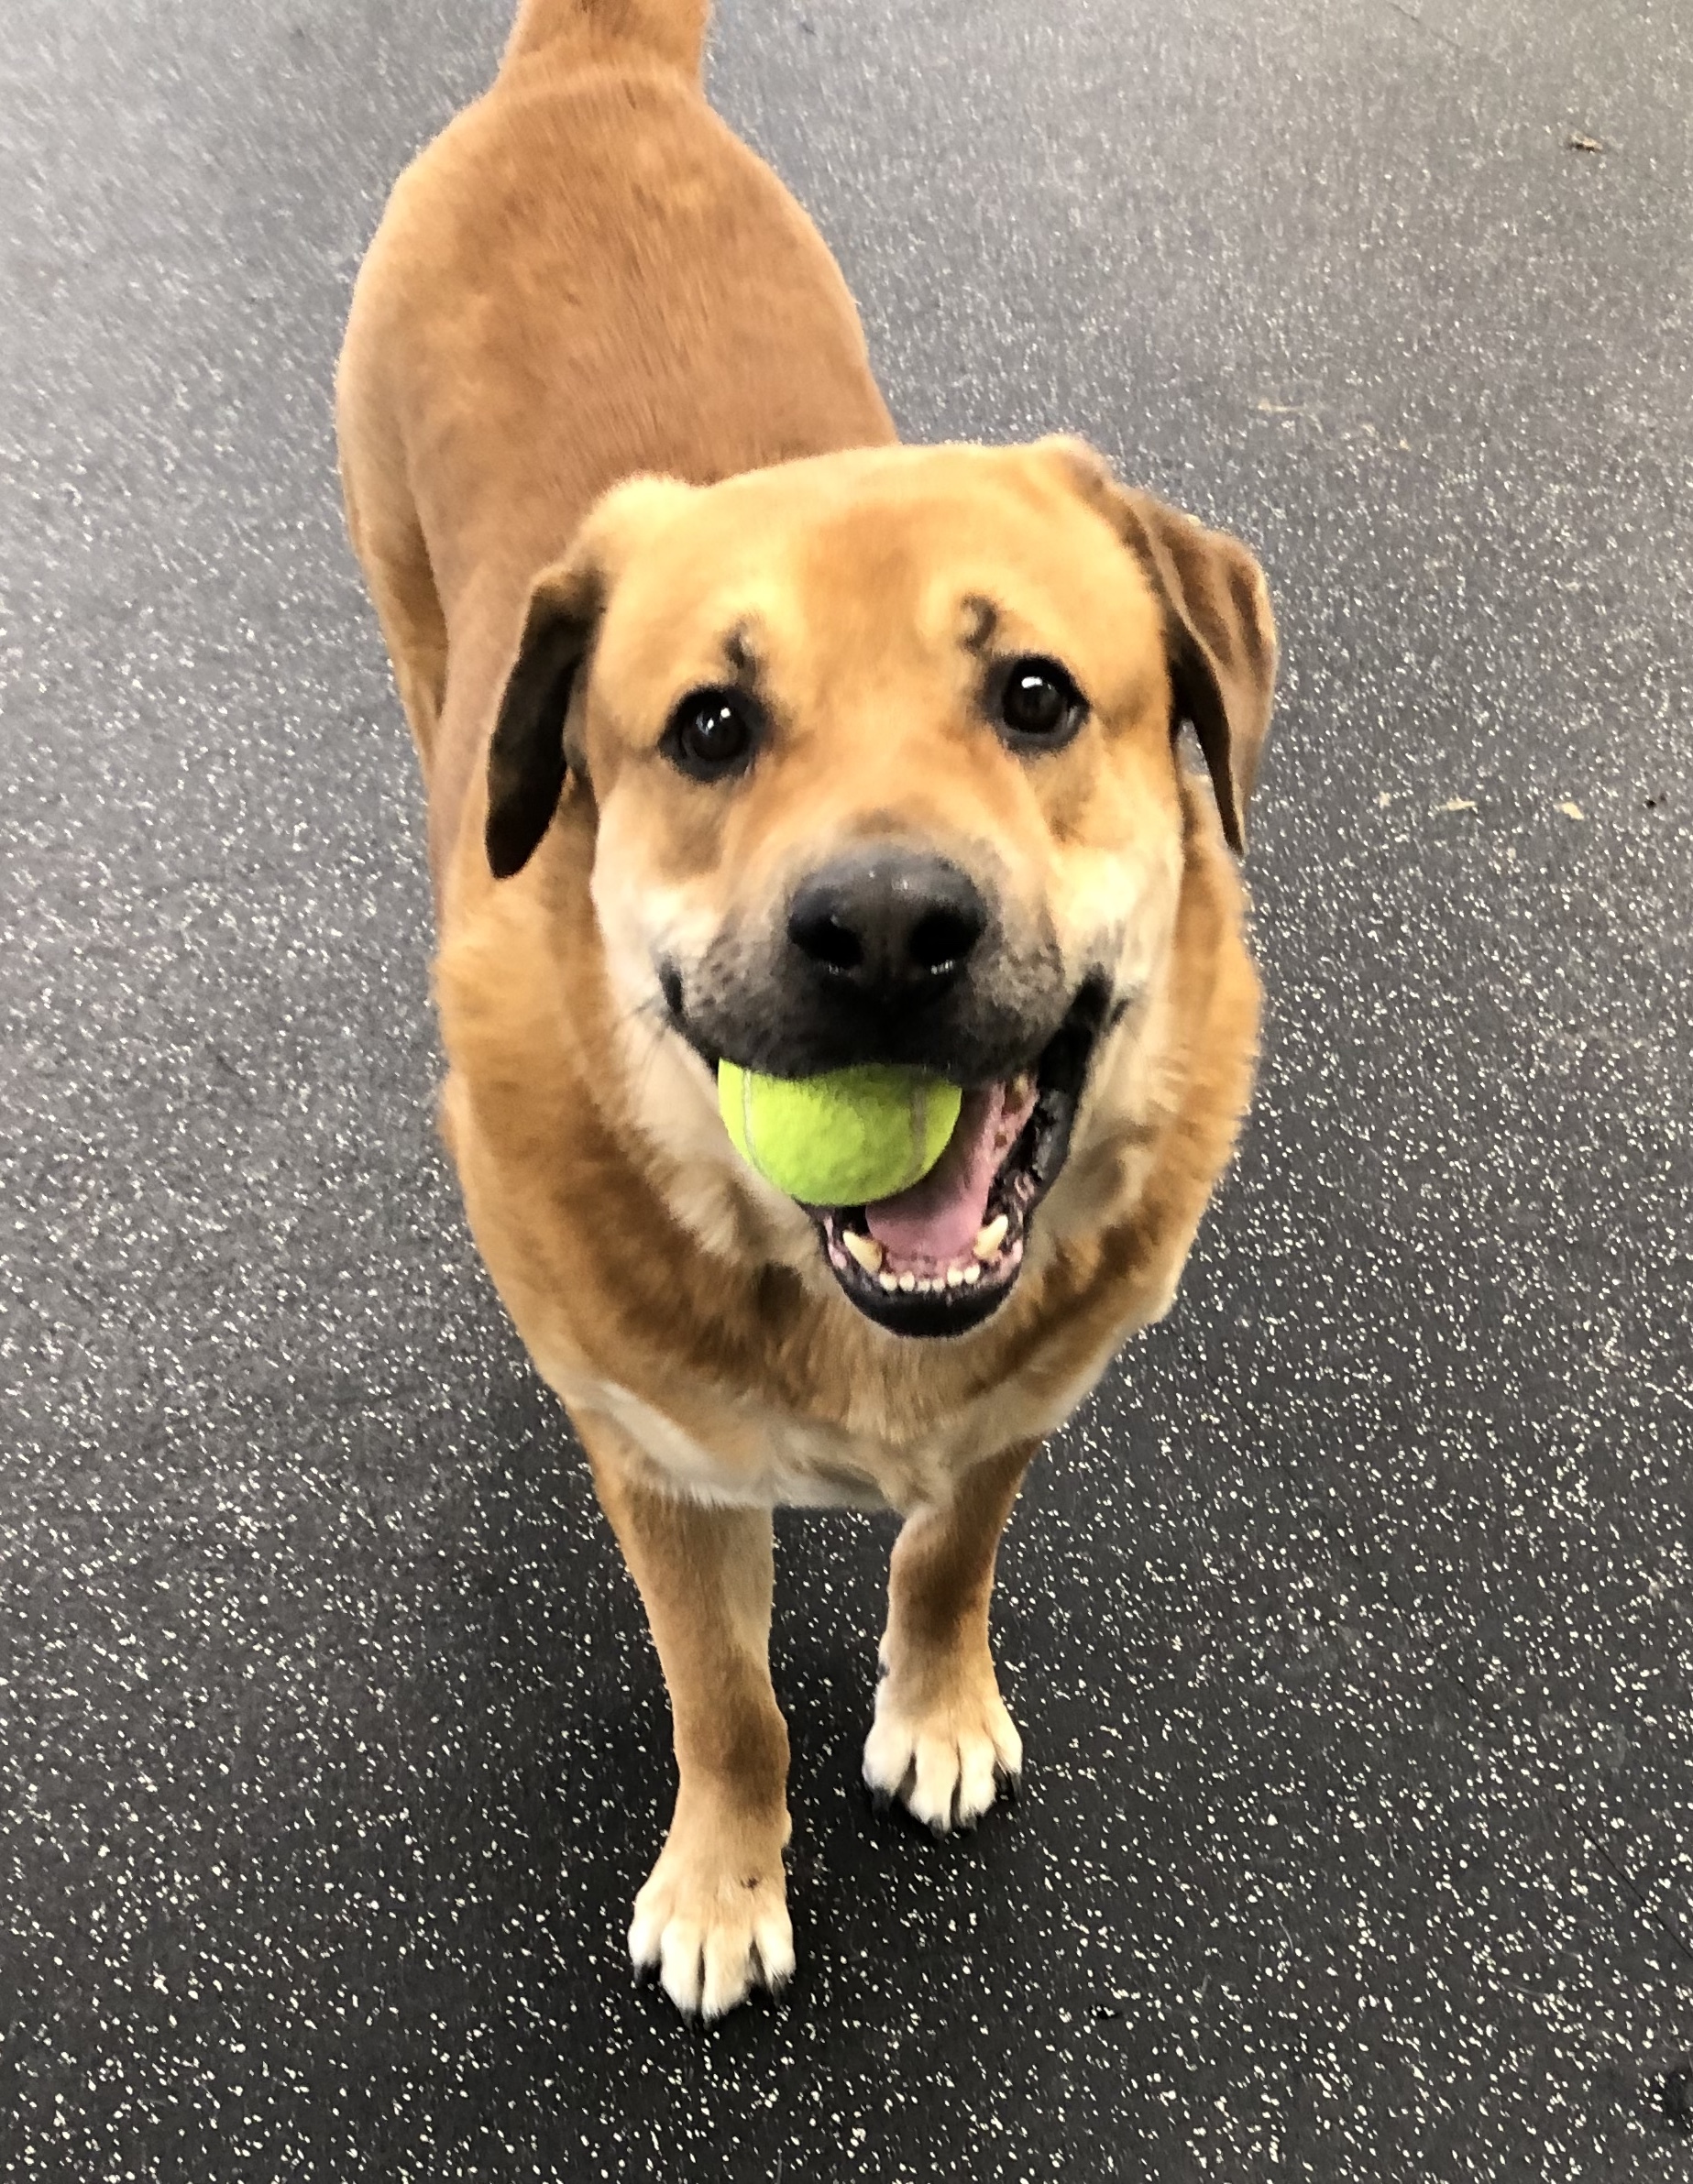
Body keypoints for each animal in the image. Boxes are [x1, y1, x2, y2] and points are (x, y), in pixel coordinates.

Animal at [338, 0, 1275, 2017]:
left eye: (1033, 692)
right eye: (708, 725)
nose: (885, 929)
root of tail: (587, 73)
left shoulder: (1013, 1412)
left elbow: (943, 1566)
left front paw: (934, 1707)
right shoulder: (668, 1479)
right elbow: (727, 1702)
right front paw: (722, 1880)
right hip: (409, 617)